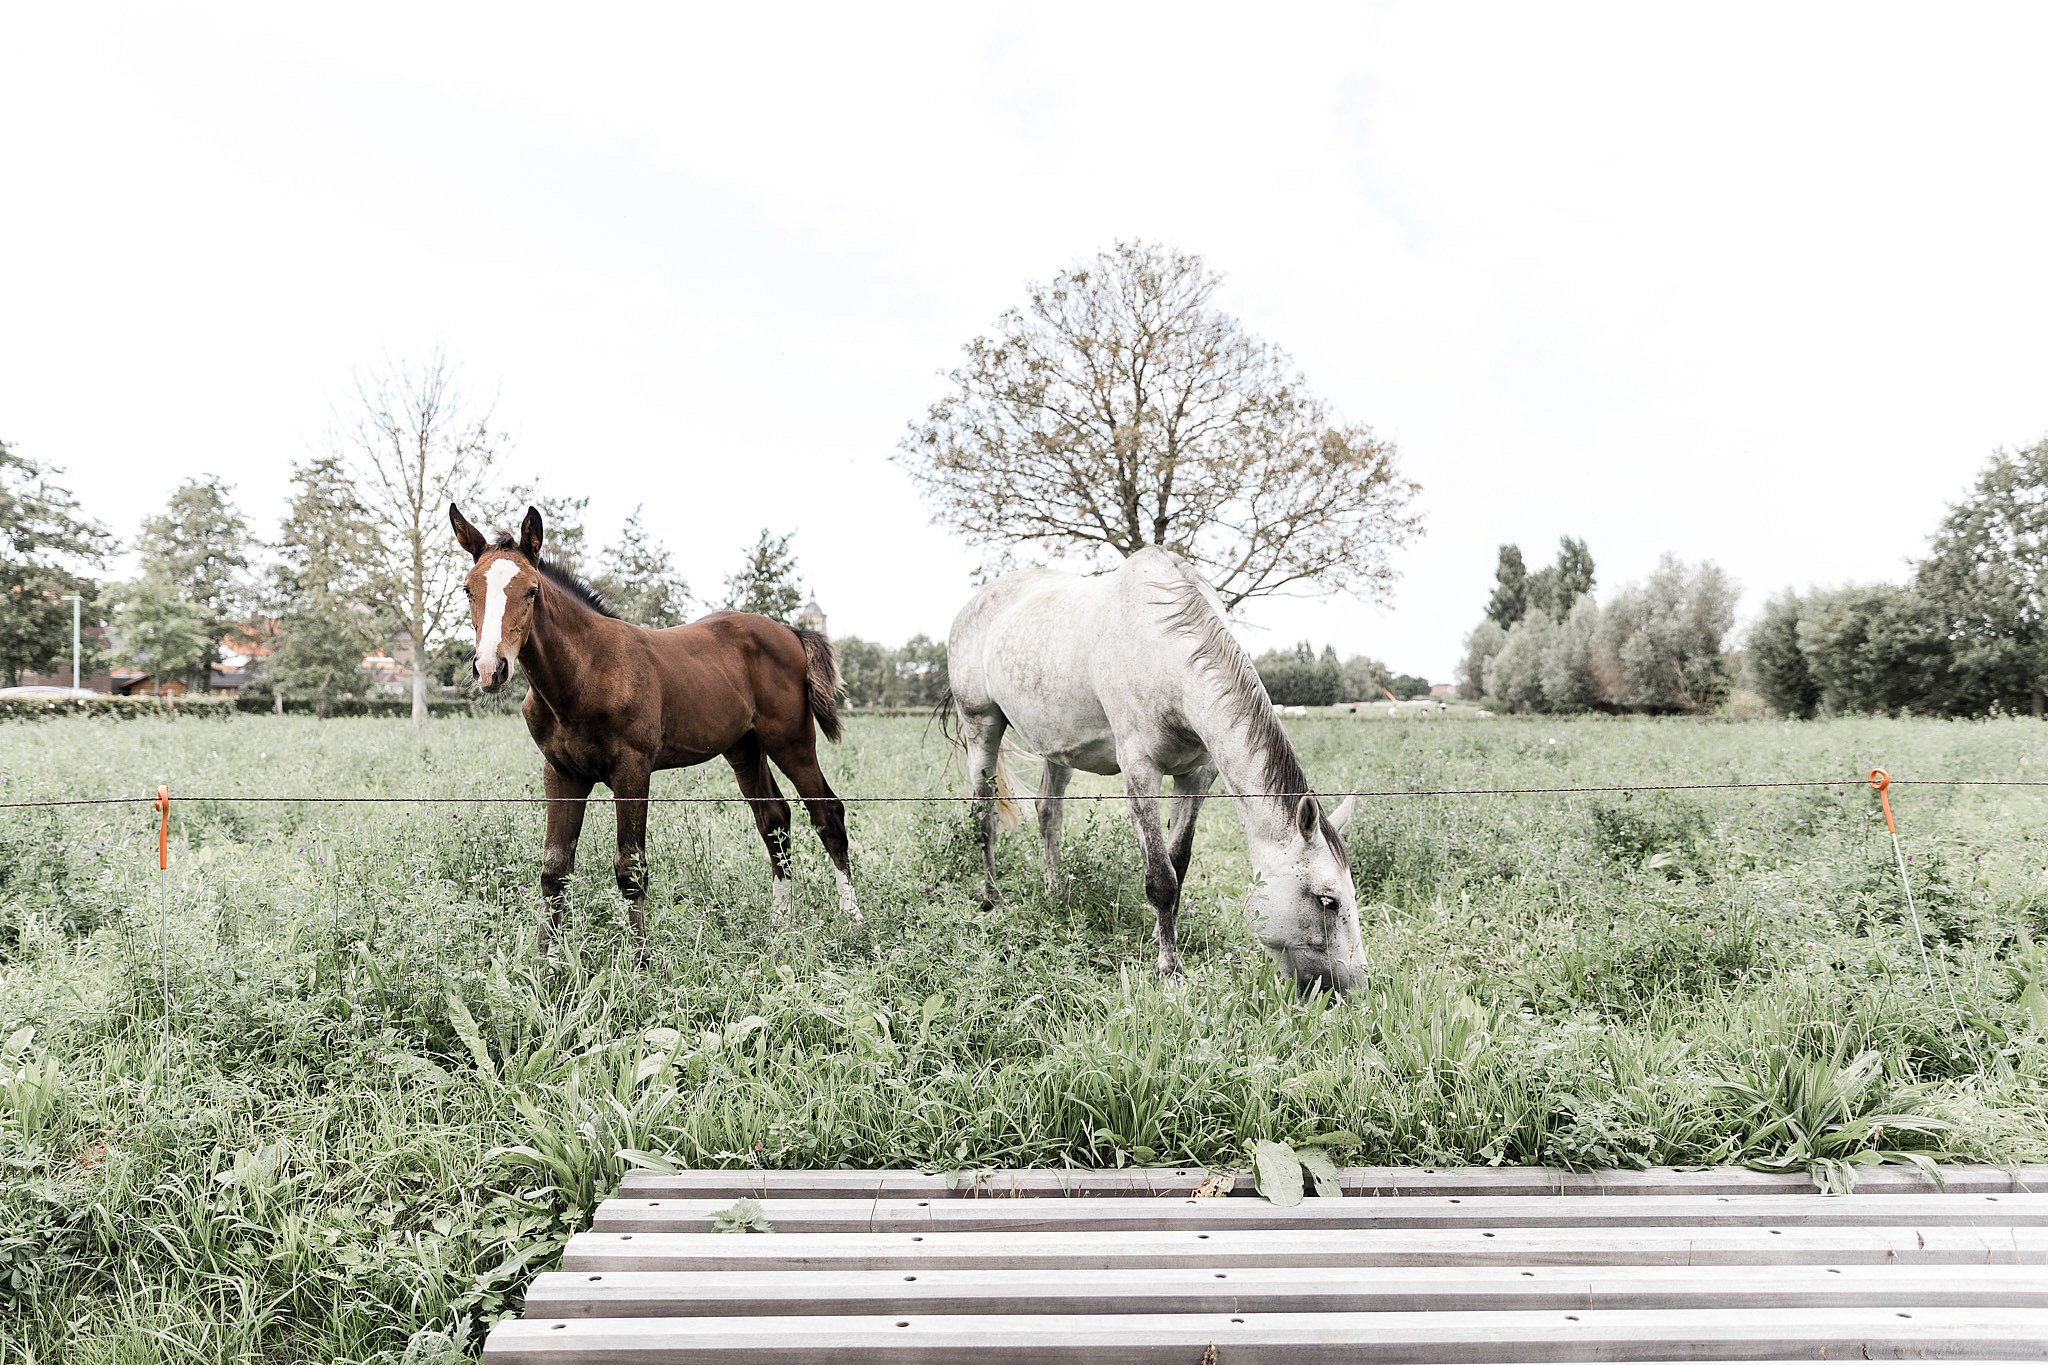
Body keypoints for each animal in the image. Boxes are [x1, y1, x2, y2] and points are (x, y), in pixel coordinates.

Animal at [450, 503, 858, 959]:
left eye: (532, 590)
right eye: (468, 590)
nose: (491, 668)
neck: (585, 672)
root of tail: (789, 630)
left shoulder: (632, 769)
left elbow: (630, 866)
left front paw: (641, 959)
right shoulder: (561, 773)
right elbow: (555, 869)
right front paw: (545, 962)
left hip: (791, 741)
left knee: (827, 813)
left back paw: (853, 922)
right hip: (744, 748)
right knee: (774, 820)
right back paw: (780, 926)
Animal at [946, 546, 1365, 993]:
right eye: (1327, 900)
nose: (1353, 989)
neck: (1164, 653)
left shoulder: (1196, 775)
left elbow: (1176, 863)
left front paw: (1160, 936)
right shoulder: (1141, 770)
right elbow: (1161, 878)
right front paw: (1170, 967)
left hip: (1056, 748)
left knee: (1049, 814)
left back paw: (1057, 893)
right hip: (981, 727)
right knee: (984, 817)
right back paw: (991, 898)